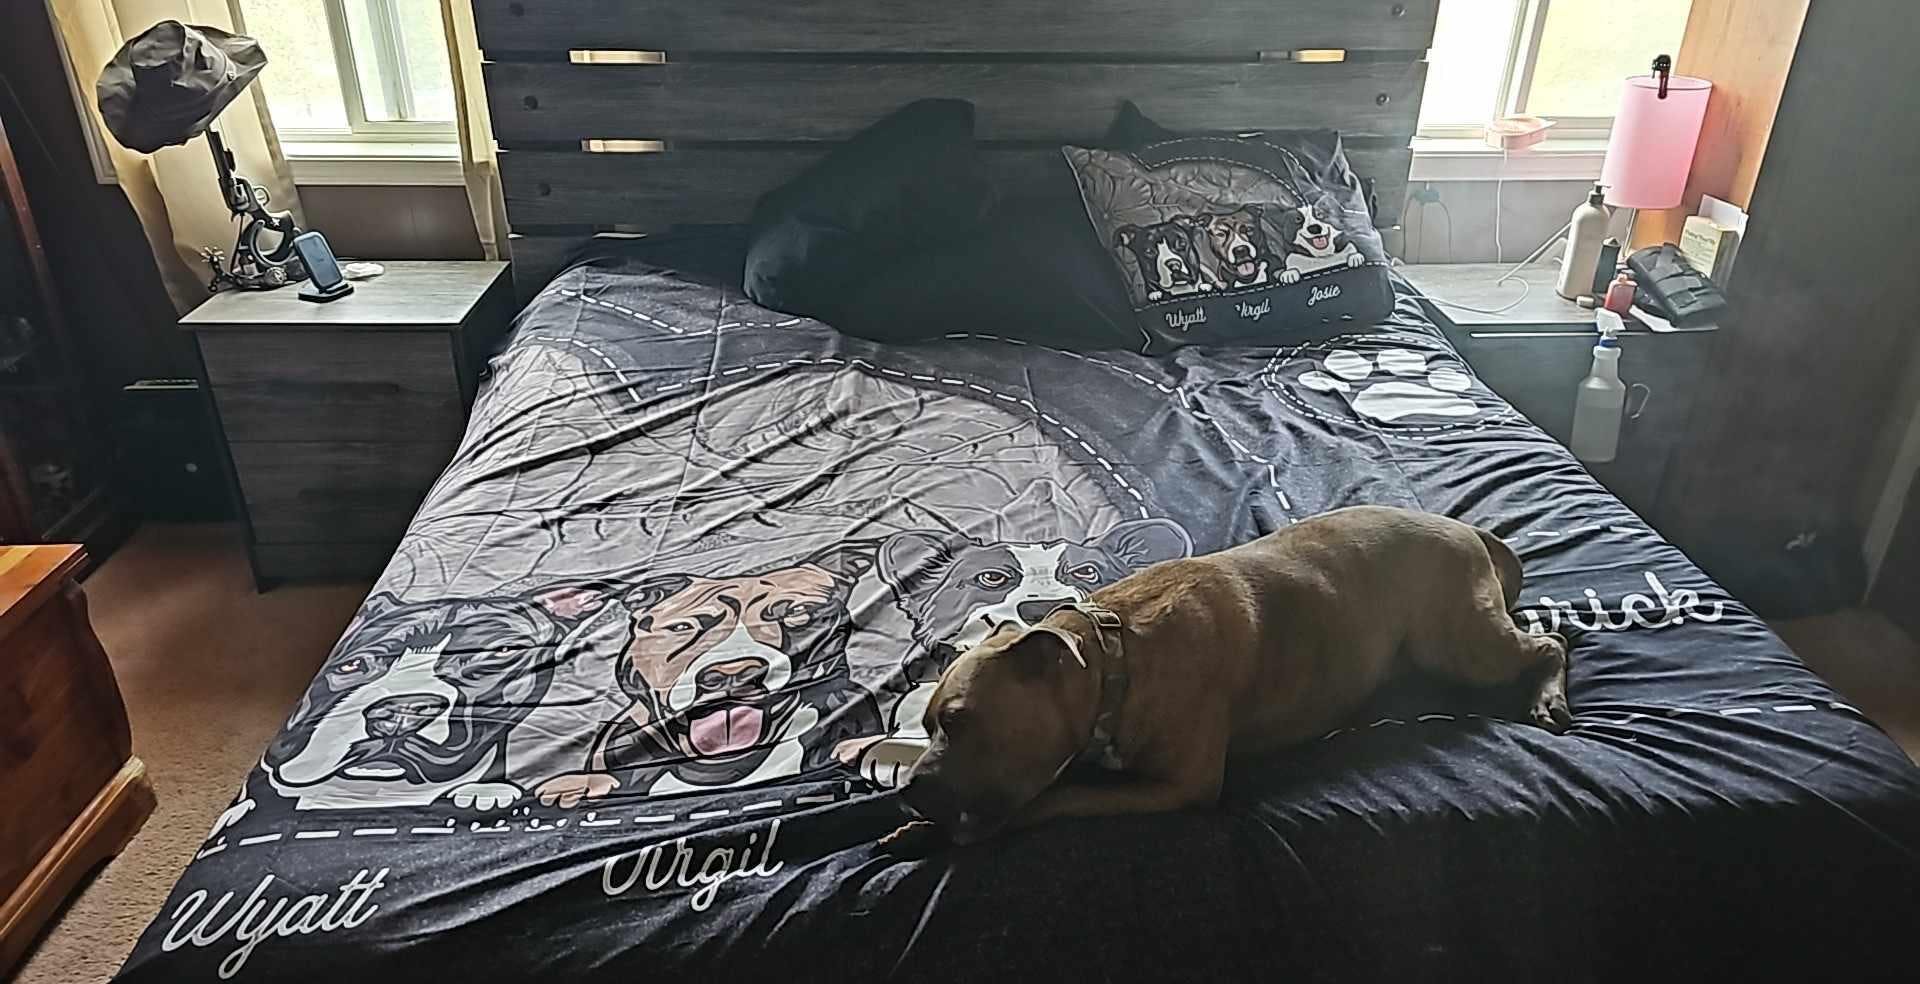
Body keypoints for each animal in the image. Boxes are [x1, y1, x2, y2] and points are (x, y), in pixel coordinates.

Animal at [898, 506, 1572, 845]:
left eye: (959, 720)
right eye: (927, 724)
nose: (908, 791)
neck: (1116, 656)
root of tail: (1469, 529)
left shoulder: (1177, 787)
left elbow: (1055, 798)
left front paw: (950, 832)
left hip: (1462, 645)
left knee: (1551, 642)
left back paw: (1548, 698)